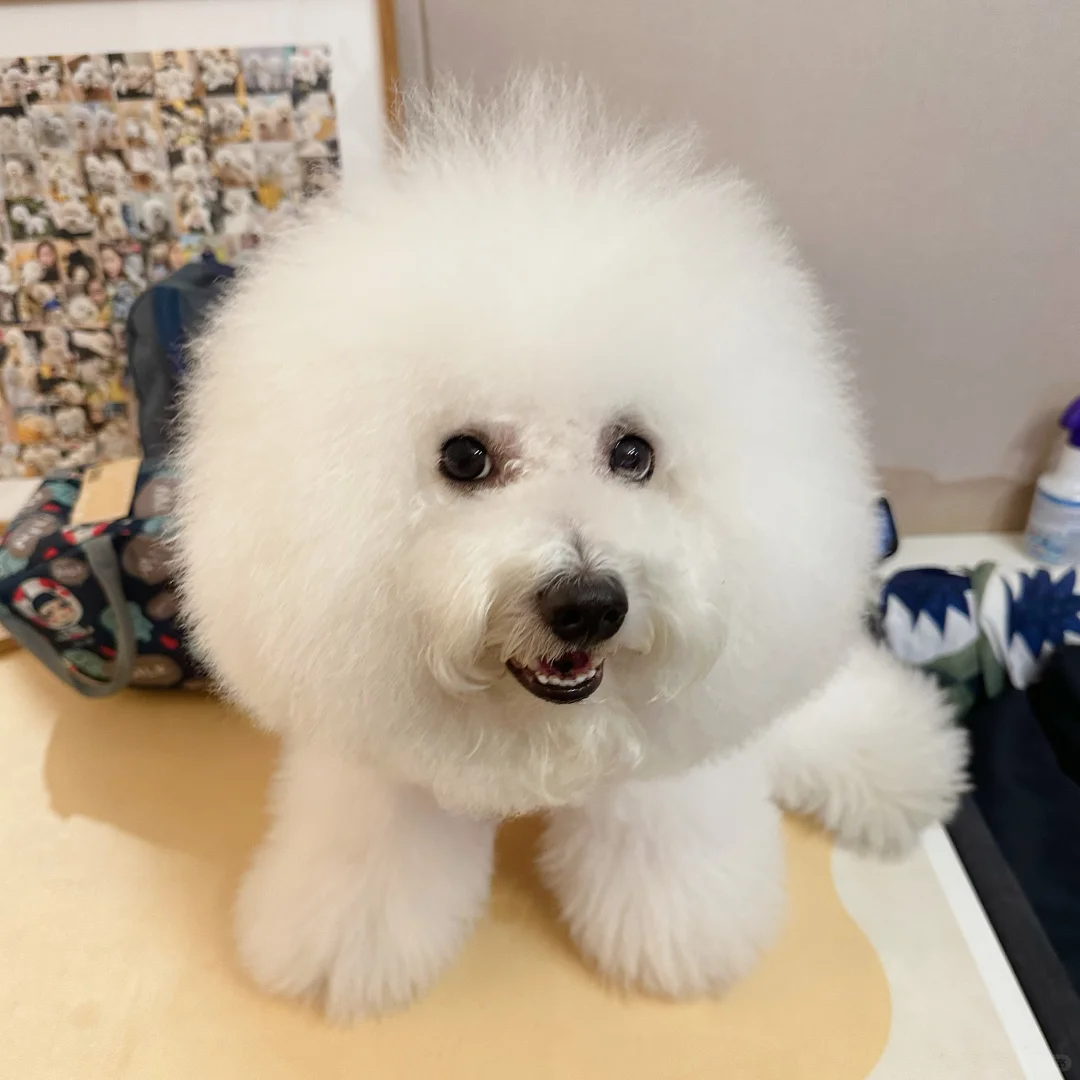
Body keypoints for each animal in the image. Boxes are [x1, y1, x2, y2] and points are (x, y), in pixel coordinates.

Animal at [176, 77, 966, 1021]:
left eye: (633, 453)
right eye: (464, 458)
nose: (588, 604)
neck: (541, 735)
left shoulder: (661, 770)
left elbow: (664, 850)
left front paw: (682, 935)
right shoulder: (379, 759)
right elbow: (370, 860)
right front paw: (340, 942)